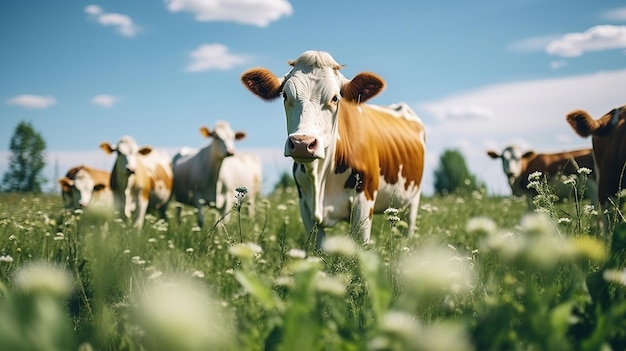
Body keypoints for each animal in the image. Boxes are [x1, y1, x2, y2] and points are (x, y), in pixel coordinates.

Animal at [239, 49, 424, 249]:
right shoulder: (305, 206)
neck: (320, 178)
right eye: (285, 96)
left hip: (413, 200)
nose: (302, 143)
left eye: (335, 98)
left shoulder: (364, 201)